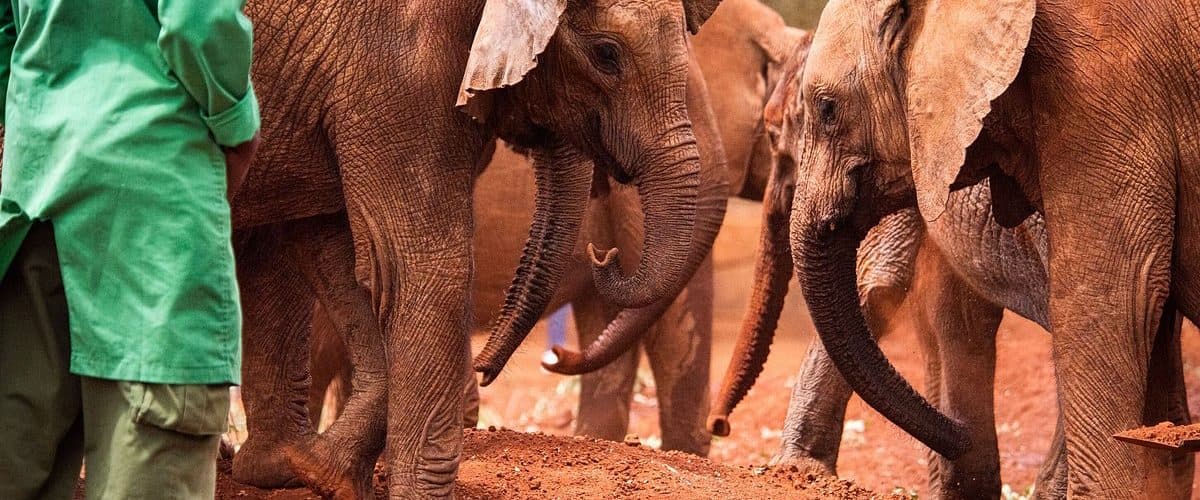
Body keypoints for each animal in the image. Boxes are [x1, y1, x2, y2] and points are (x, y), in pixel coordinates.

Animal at [227, 0, 728, 497]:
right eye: (606, 55)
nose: (604, 256)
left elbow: (340, 251)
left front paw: (314, 471)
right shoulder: (396, 72)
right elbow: (423, 266)